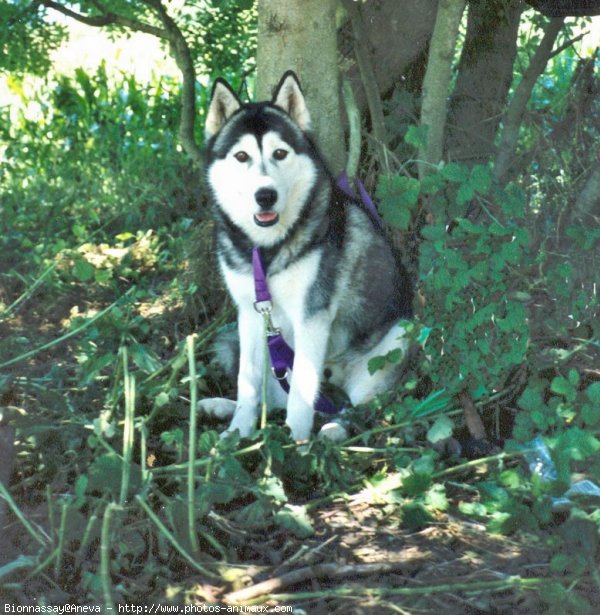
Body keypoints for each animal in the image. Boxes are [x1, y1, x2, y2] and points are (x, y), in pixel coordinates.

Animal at [202, 72, 412, 442]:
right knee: (272, 395)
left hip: (398, 338)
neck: (267, 250)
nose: (266, 195)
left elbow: (301, 392)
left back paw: (334, 429)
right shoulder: (249, 315)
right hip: (248, 347)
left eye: (280, 153)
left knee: (358, 409)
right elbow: (248, 382)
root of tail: (334, 377)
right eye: (241, 156)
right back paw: (222, 408)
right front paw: (239, 430)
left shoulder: (312, 317)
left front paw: (296, 443)